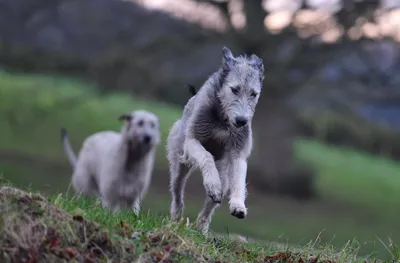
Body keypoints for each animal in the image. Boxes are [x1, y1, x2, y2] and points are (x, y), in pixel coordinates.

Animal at [166, 46, 264, 234]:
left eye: (254, 94)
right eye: (234, 89)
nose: (241, 121)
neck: (223, 120)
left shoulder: (238, 151)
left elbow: (240, 177)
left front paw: (238, 205)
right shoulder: (192, 141)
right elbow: (206, 156)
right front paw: (212, 184)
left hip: (224, 172)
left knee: (216, 196)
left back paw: (201, 226)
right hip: (179, 162)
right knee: (177, 192)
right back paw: (176, 218)